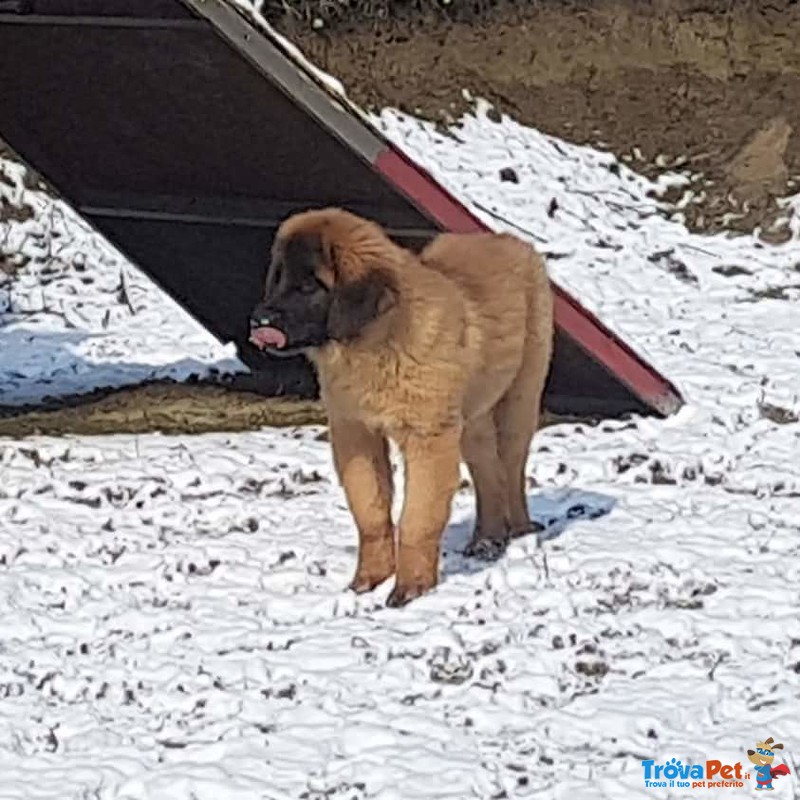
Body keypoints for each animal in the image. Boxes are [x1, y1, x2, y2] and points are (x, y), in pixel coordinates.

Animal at [252, 208, 556, 608]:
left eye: (309, 286)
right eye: (279, 277)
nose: (259, 321)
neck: (375, 343)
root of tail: (510, 241)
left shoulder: (428, 438)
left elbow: (417, 518)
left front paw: (411, 588)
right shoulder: (355, 433)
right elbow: (371, 512)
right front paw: (368, 581)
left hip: (518, 401)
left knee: (511, 468)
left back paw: (519, 532)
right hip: (471, 418)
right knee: (489, 471)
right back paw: (487, 540)